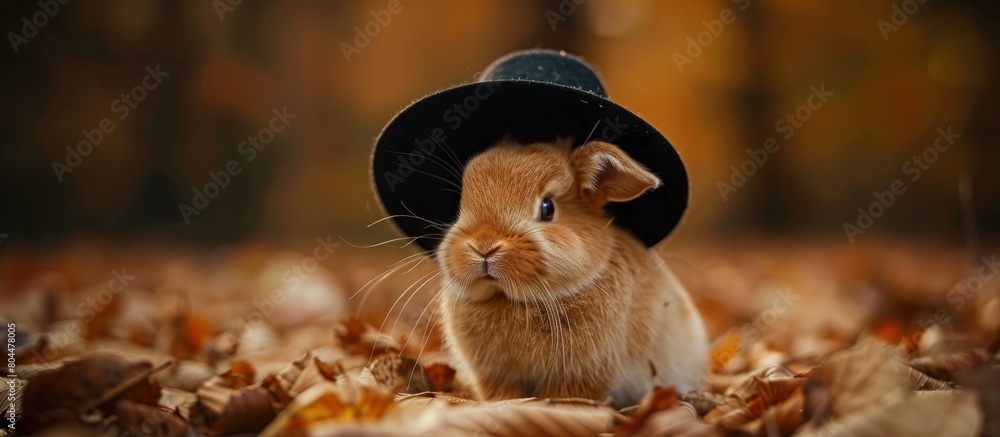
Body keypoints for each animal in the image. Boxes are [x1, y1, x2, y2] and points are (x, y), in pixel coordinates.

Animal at [436, 137, 708, 407]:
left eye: (548, 207)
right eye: (461, 205)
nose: (484, 245)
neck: (513, 300)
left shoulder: (584, 372)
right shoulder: (495, 374)